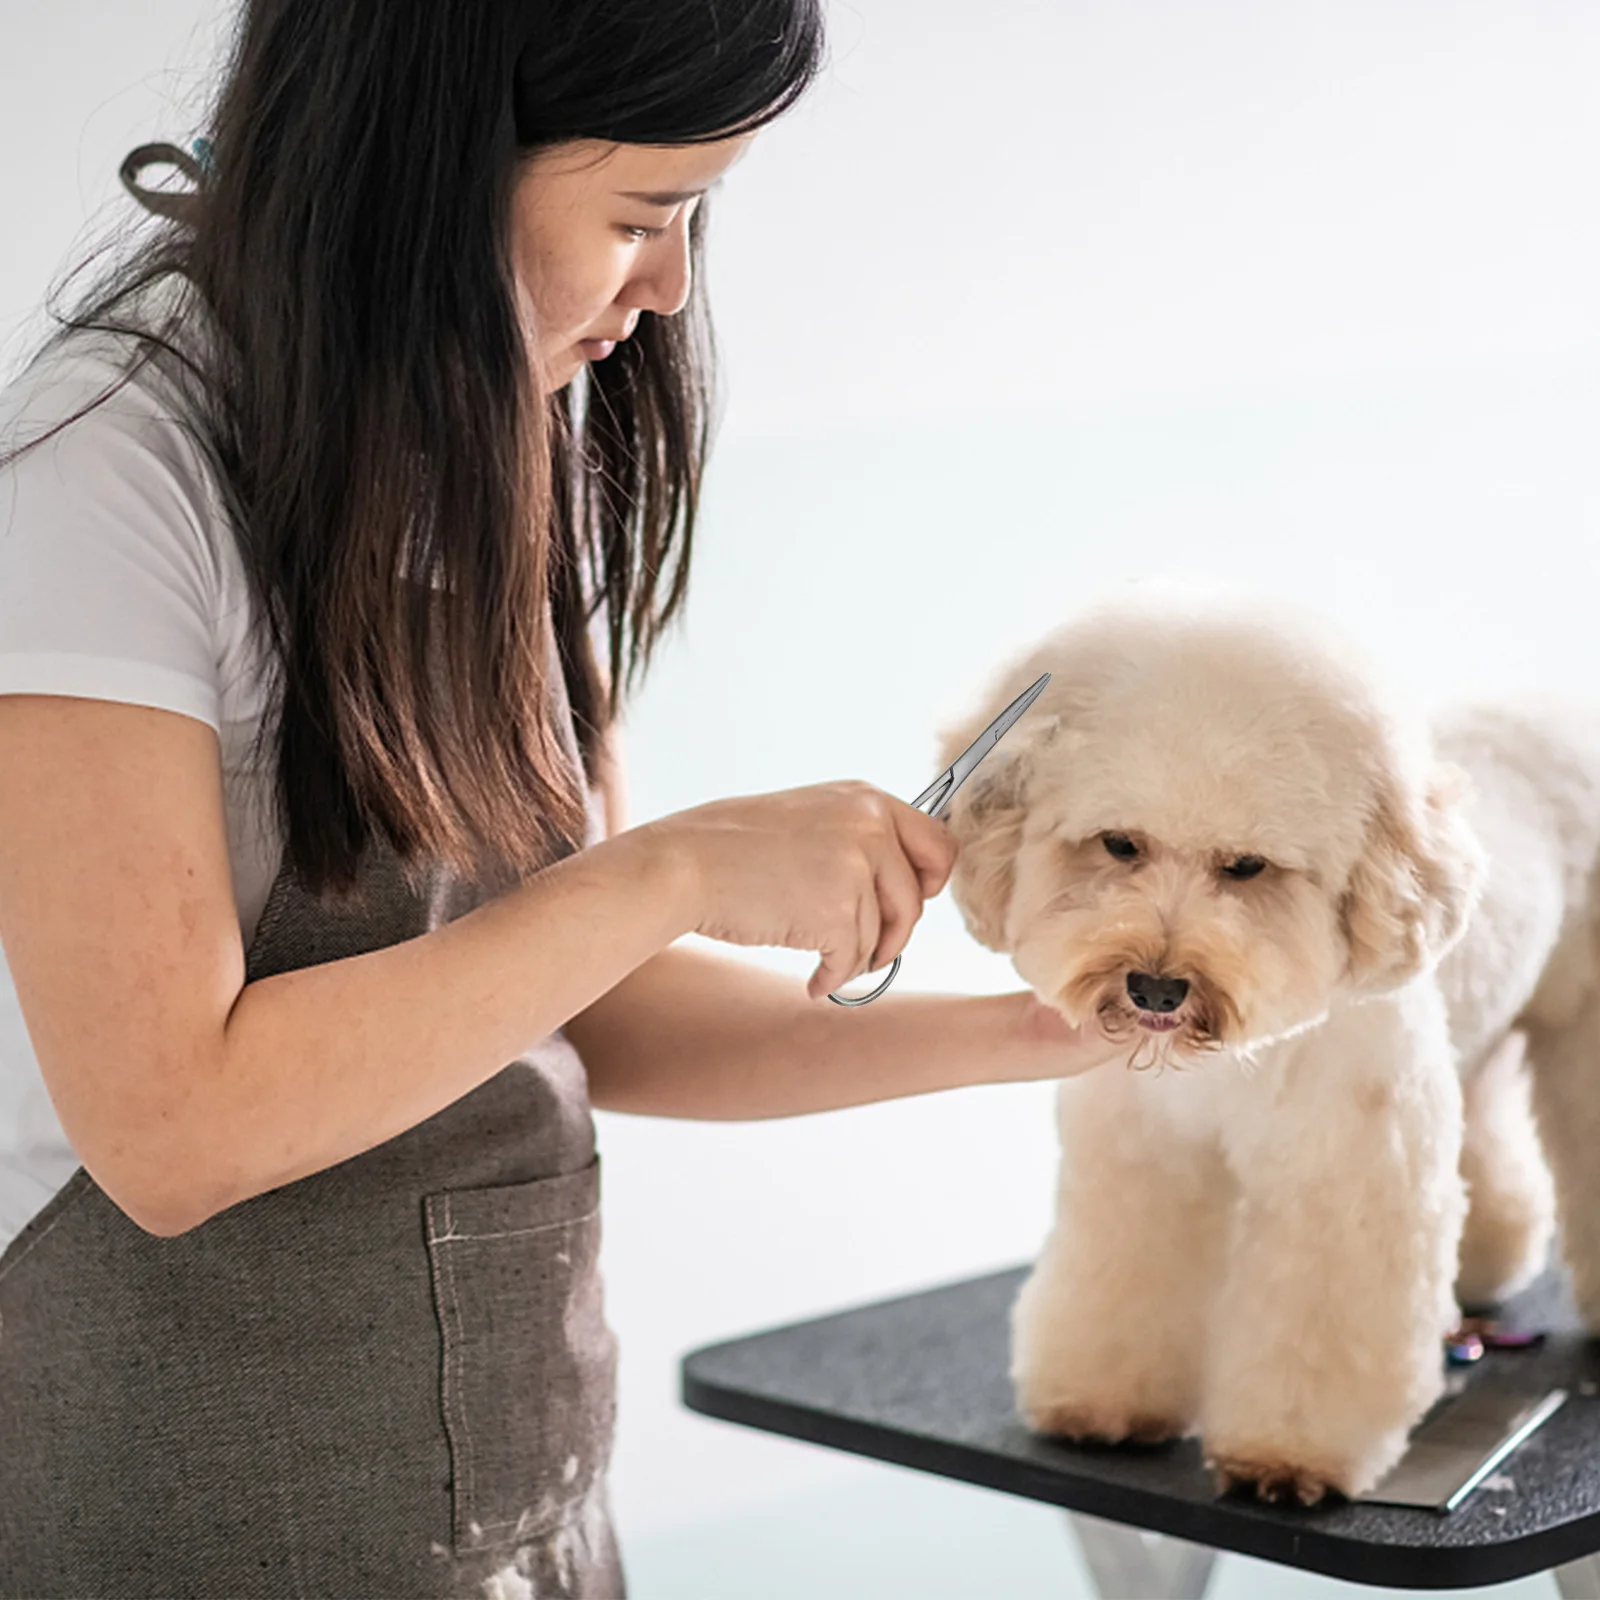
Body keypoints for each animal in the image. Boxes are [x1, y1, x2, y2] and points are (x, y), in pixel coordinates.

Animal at [934, 588, 1600, 1497]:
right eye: (1121, 844)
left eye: (1246, 866)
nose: (1156, 987)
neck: (1220, 1065)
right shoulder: (1140, 1159)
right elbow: (1120, 1281)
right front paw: (1105, 1402)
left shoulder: (1345, 1175)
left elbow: (1319, 1324)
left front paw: (1292, 1454)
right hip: (1477, 1040)